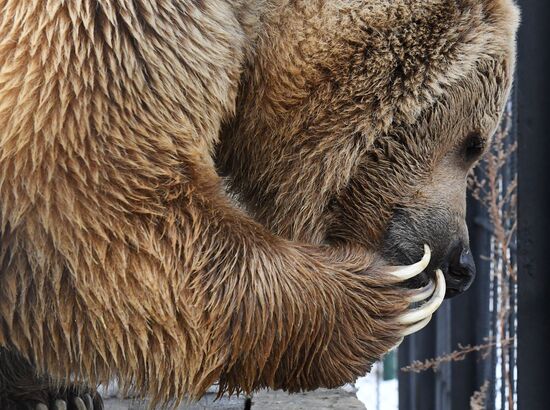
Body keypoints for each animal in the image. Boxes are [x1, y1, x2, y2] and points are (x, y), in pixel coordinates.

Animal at [0, 0, 516, 408]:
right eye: (474, 143)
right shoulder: (115, 30)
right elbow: (110, 197)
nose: (462, 265)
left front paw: (53, 389)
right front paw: (385, 298)